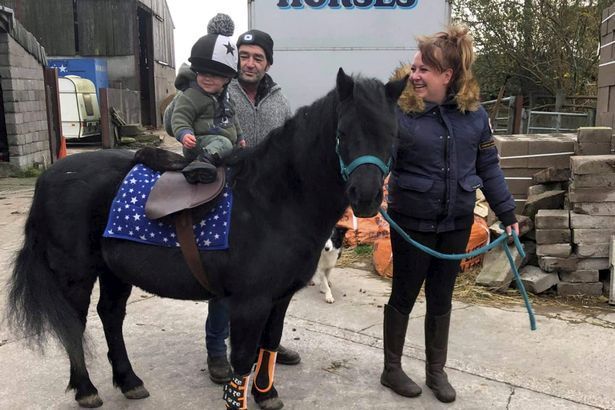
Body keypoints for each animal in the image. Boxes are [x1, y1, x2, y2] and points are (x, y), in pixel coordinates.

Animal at [7, 69, 410, 408]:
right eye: (343, 133)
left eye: (392, 136)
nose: (366, 196)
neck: (272, 199)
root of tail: (51, 176)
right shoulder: (250, 302)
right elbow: (243, 359)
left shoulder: (279, 299)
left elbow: (270, 343)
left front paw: (267, 394)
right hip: (75, 275)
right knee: (75, 325)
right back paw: (86, 389)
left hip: (113, 271)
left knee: (110, 315)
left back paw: (128, 380)